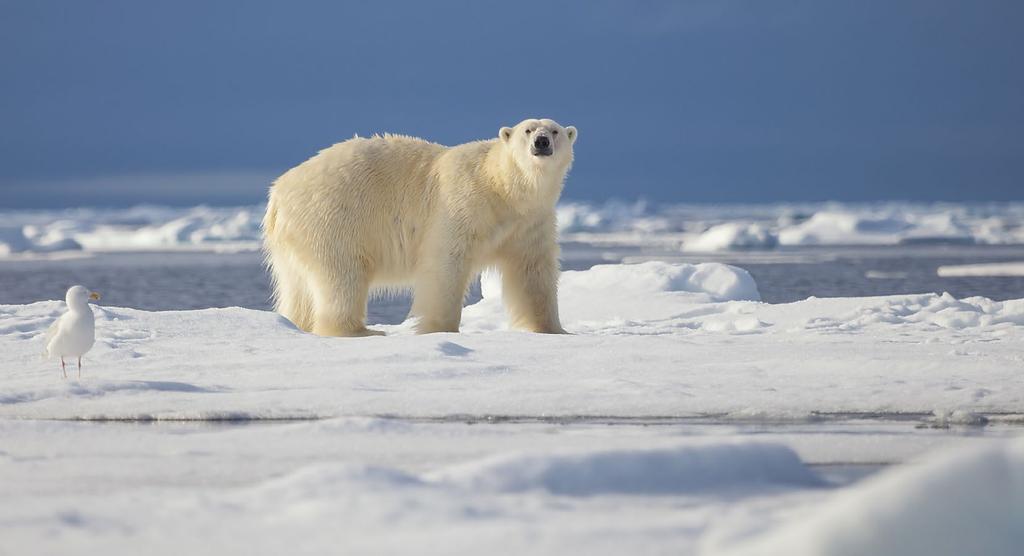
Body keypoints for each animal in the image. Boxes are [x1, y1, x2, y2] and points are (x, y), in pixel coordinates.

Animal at [262, 118, 577, 335]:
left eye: (555, 131)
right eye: (528, 130)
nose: (541, 142)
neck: (502, 188)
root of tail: (278, 192)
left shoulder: (530, 221)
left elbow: (533, 272)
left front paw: (553, 329)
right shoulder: (462, 203)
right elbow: (445, 263)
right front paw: (438, 328)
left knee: (297, 286)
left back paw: (296, 323)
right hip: (333, 219)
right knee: (342, 276)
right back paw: (359, 330)